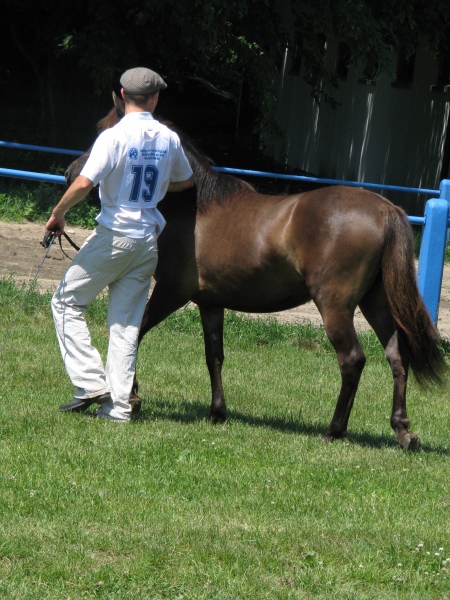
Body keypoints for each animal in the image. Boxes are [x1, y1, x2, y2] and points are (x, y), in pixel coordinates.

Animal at [65, 101, 447, 450]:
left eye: (105, 132)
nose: (71, 174)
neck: (196, 208)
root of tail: (384, 209)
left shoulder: (170, 293)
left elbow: (135, 334)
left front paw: (132, 396)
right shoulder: (210, 303)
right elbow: (214, 355)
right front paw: (217, 412)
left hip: (335, 306)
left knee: (352, 359)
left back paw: (334, 430)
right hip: (376, 303)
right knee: (397, 356)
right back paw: (403, 432)